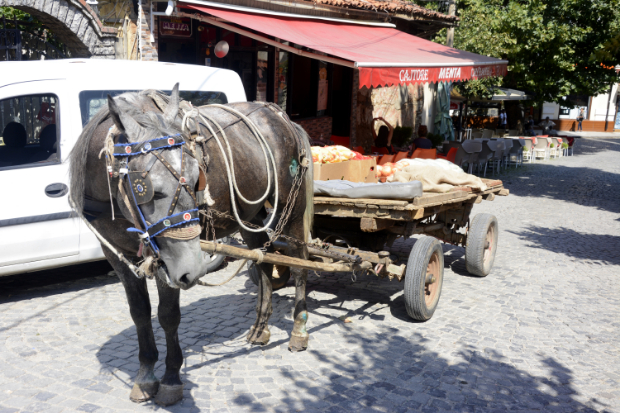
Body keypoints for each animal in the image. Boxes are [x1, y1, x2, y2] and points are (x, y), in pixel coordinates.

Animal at [69, 85, 314, 404]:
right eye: (146, 189)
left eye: (199, 179)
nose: (193, 270)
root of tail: (281, 117)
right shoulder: (120, 256)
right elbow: (139, 313)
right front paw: (146, 374)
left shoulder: (169, 262)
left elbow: (168, 315)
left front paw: (171, 377)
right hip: (251, 216)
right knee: (262, 263)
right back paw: (260, 328)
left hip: (291, 208)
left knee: (299, 264)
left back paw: (299, 329)